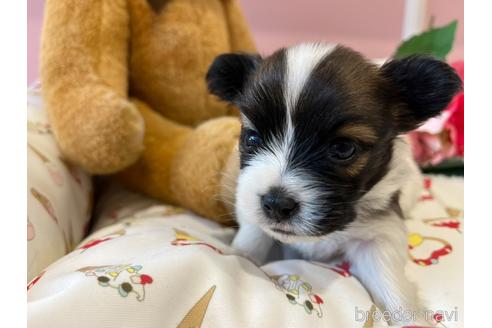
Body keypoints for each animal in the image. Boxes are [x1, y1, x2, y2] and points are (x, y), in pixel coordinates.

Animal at [206, 42, 464, 324]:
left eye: (342, 148)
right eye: (252, 138)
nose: (275, 204)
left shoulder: (380, 234)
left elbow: (391, 284)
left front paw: (411, 320)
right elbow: (251, 240)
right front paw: (237, 257)